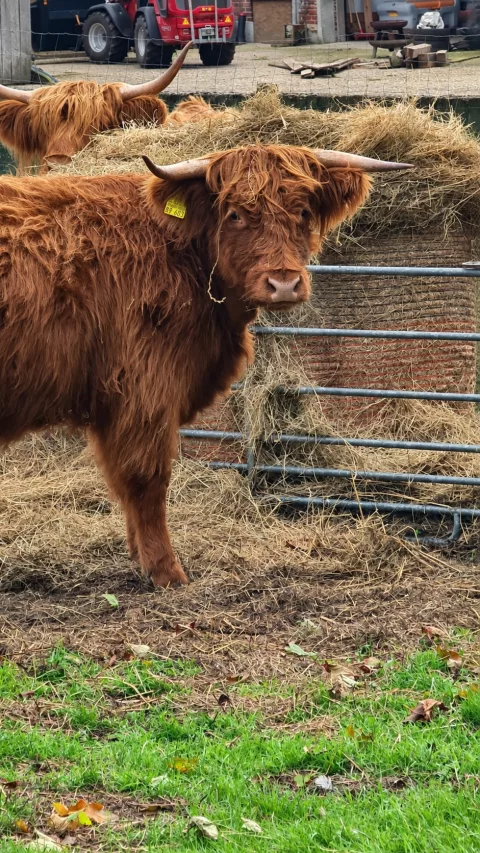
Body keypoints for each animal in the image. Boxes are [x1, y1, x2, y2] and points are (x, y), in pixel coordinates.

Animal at [0, 144, 410, 588]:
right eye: (235, 215)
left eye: (303, 211)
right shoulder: (144, 392)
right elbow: (146, 479)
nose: (284, 284)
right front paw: (166, 570)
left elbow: (126, 484)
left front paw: (139, 555)